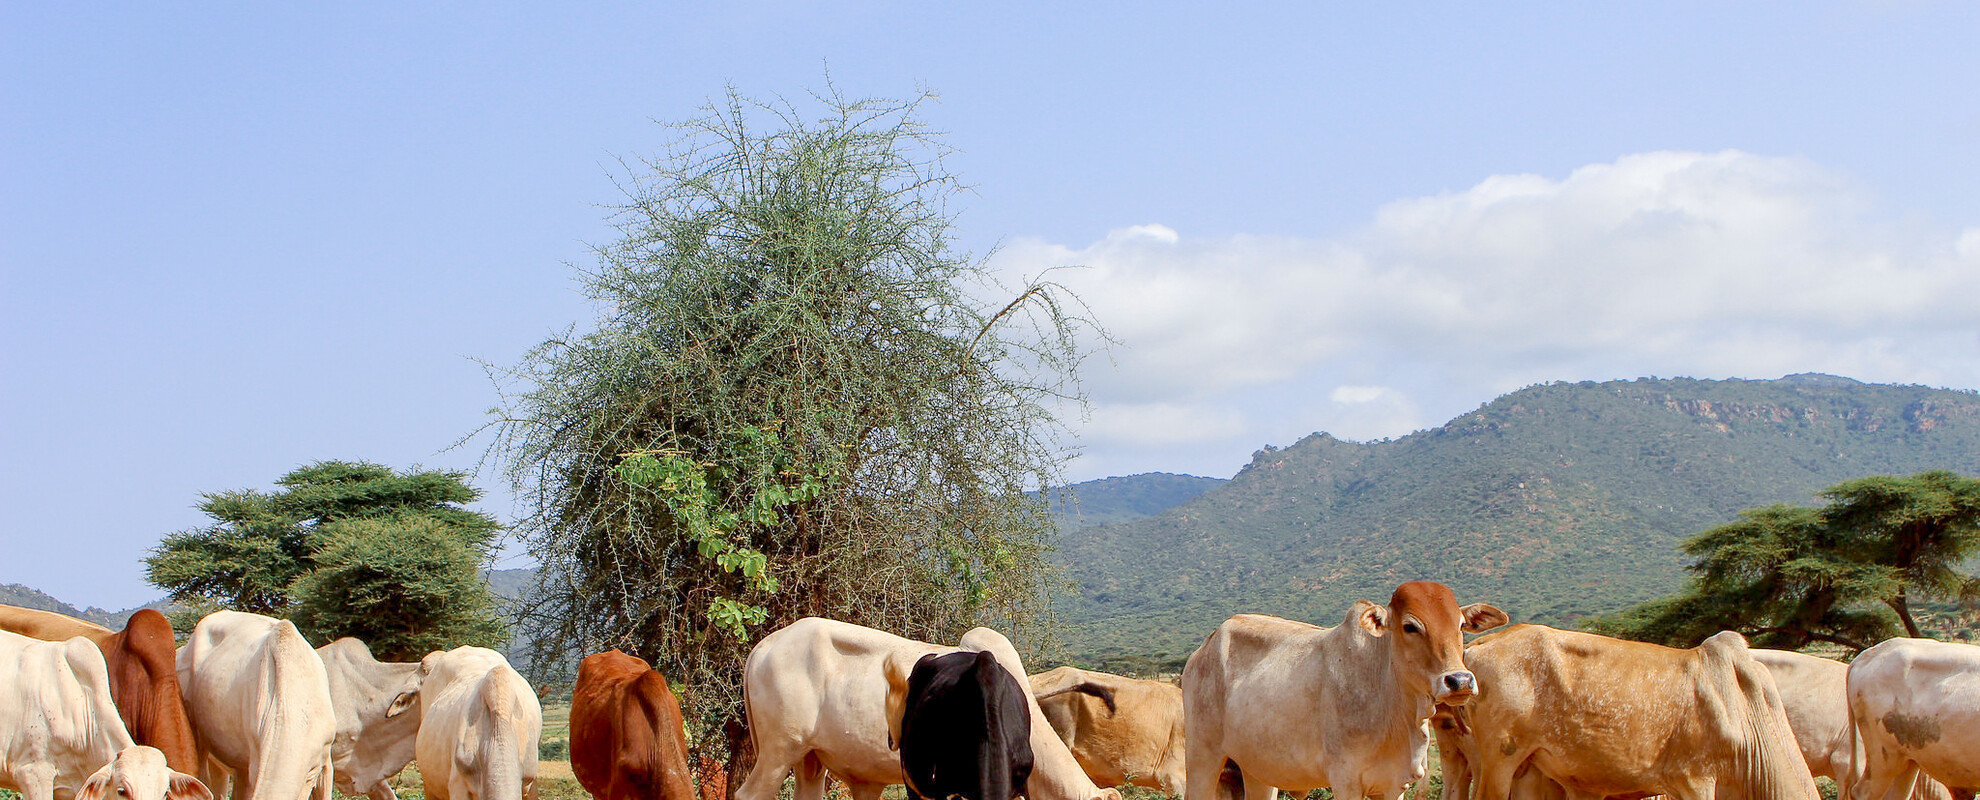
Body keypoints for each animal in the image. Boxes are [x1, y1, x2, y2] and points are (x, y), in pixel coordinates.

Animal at [1185, 581, 1506, 800]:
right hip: (1202, 758)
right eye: (1410, 626)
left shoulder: (1394, 785)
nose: (1459, 681)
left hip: (1258, 771)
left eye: (1461, 625)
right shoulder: (1346, 781)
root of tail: (1204, 648)